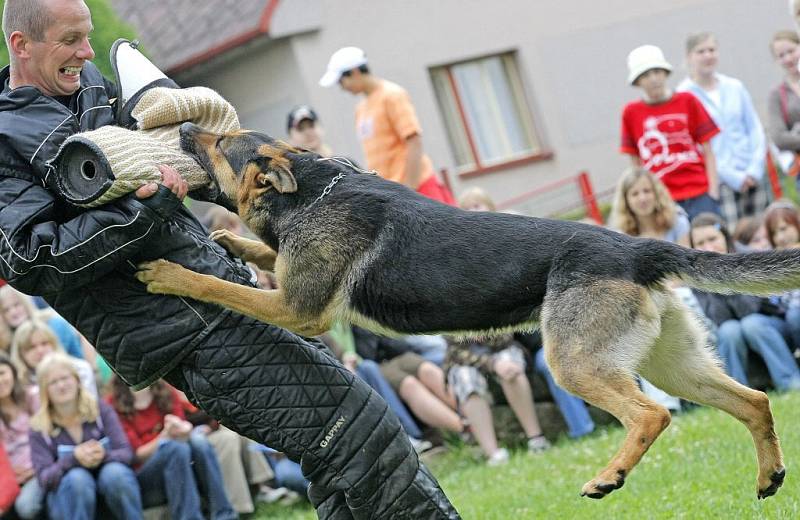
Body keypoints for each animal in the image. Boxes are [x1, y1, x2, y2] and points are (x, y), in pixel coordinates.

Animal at [138, 122, 792, 500]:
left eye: (220, 143)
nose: (188, 123)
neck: (313, 188)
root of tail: (638, 248)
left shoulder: (300, 310)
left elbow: (222, 288)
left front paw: (169, 273)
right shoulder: (295, 284)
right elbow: (264, 256)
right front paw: (232, 242)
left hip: (576, 363)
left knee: (651, 415)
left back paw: (609, 476)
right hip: (671, 363)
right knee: (754, 401)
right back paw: (769, 477)